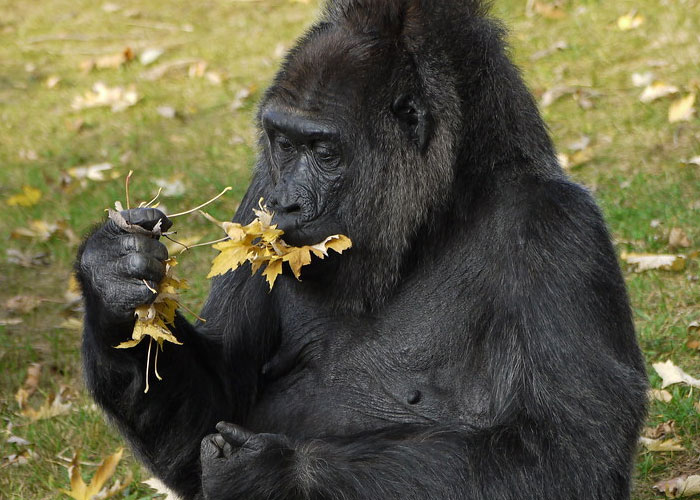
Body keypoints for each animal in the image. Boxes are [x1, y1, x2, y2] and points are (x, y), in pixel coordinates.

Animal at [75, 0, 644, 500]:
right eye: (284, 144)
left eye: (324, 151)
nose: (283, 203)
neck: (440, 213)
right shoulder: (261, 184)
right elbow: (213, 410)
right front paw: (112, 279)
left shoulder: (558, 228)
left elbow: (568, 455)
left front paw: (278, 473)